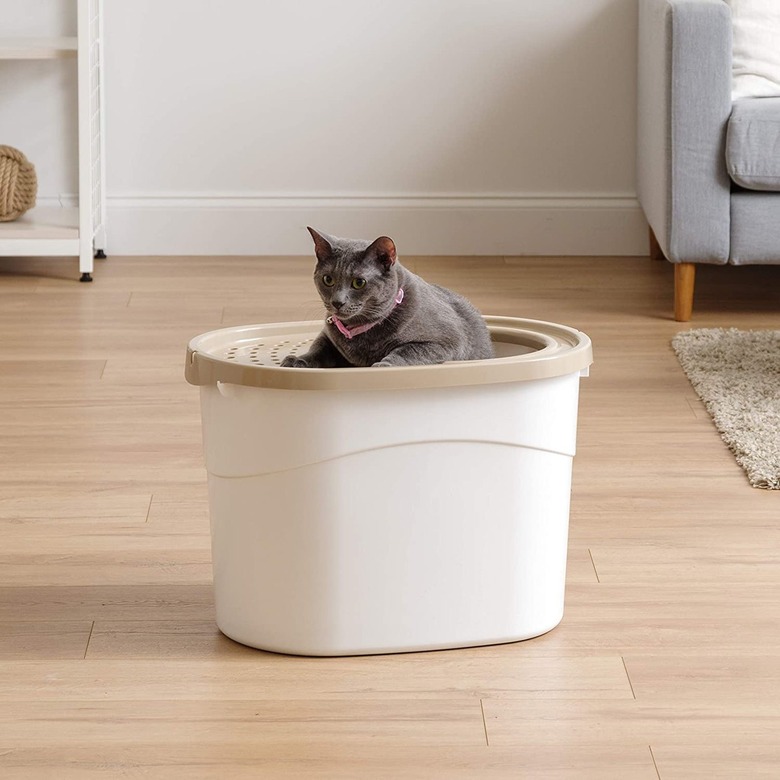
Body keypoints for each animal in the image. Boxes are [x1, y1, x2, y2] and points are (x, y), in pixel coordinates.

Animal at [278, 229, 494, 368]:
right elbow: (318, 348)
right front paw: (297, 360)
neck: (358, 331)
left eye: (359, 282)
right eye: (328, 279)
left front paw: (383, 365)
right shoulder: (328, 336)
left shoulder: (447, 341)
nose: (337, 302)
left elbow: (408, 350)